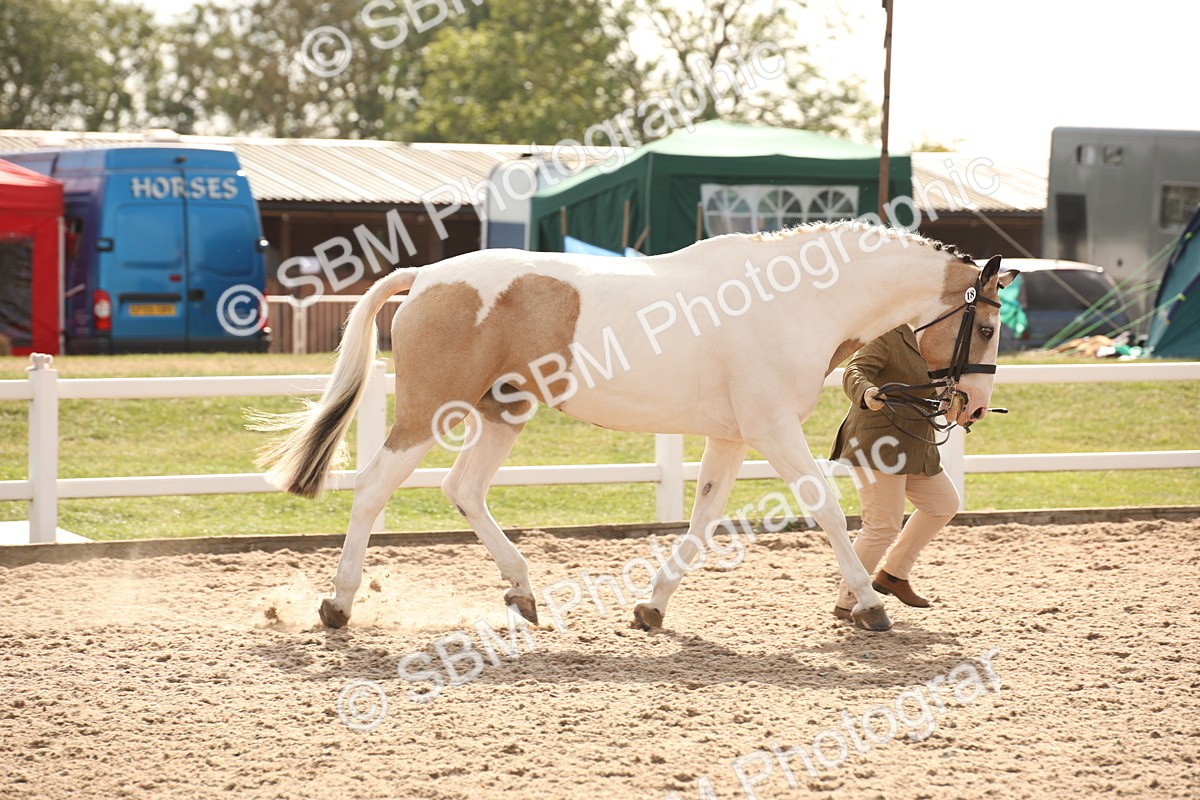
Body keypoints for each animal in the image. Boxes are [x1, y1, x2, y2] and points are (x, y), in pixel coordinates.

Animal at [250, 221, 1017, 632]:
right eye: (984, 325)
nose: (973, 406)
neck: (797, 299)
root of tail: (428, 276)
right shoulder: (771, 428)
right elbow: (825, 508)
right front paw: (870, 607)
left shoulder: (732, 436)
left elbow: (702, 522)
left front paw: (651, 609)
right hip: (427, 413)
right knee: (374, 487)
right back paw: (337, 605)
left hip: (503, 412)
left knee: (464, 490)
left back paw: (523, 594)